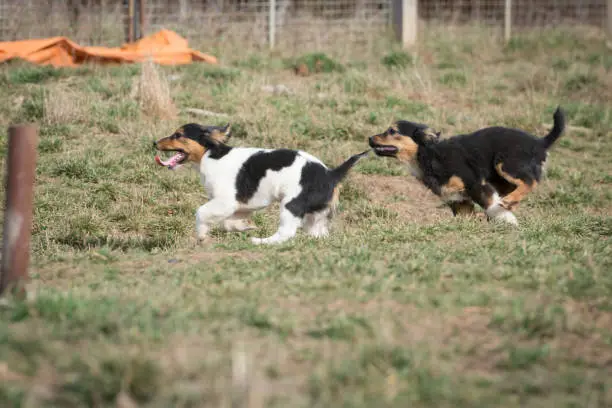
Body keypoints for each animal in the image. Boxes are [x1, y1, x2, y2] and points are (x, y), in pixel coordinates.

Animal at [153, 124, 368, 244]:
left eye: (178, 135)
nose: (154, 143)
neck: (211, 154)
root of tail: (331, 173)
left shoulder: (225, 201)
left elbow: (201, 213)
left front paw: (201, 236)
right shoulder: (241, 205)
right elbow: (228, 223)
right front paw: (244, 227)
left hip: (292, 204)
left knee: (286, 233)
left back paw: (260, 241)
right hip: (315, 216)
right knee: (318, 232)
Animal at [366, 107, 568, 225]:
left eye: (392, 131)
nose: (369, 138)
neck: (429, 155)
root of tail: (540, 142)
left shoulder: (476, 184)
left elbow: (490, 204)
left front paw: (507, 220)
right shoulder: (457, 199)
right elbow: (466, 215)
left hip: (506, 164)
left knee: (530, 181)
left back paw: (508, 202)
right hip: (502, 179)